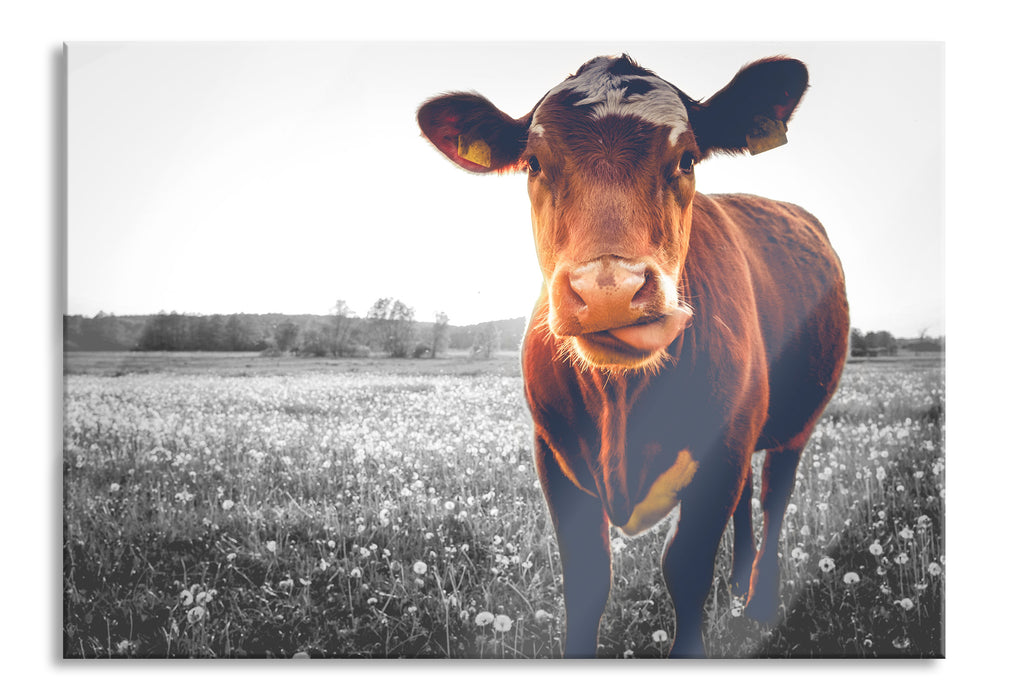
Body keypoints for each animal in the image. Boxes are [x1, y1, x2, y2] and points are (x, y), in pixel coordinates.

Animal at [417, 54, 849, 658]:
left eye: (687, 158)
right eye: (533, 163)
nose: (609, 290)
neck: (621, 402)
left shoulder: (721, 452)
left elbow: (685, 568)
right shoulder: (553, 455)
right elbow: (587, 577)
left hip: (796, 421)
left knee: (774, 497)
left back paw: (759, 600)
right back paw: (739, 580)